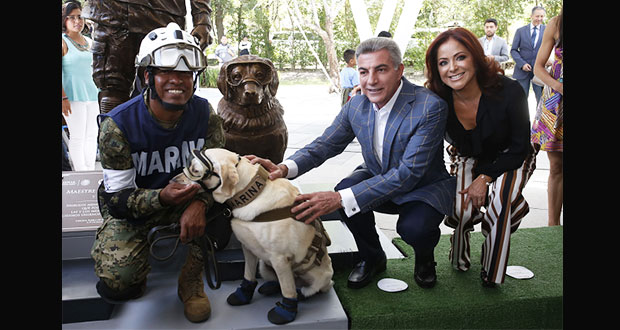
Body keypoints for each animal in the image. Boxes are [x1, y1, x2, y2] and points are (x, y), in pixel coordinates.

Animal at [170, 149, 334, 324]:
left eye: (195, 170)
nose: (172, 180)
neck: (251, 196)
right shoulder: (248, 247)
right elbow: (248, 275)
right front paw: (243, 295)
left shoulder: (280, 258)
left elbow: (288, 291)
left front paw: (284, 313)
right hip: (264, 266)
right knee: (280, 281)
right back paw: (270, 287)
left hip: (320, 278)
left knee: (302, 288)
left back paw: (299, 295)